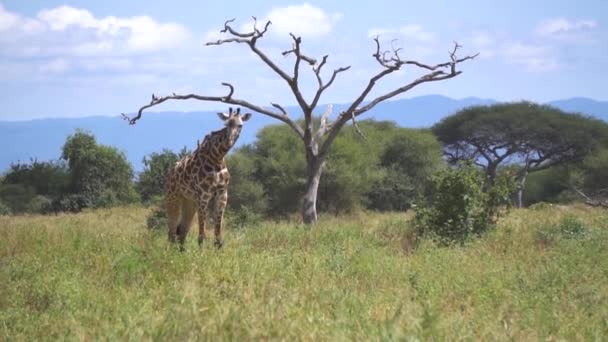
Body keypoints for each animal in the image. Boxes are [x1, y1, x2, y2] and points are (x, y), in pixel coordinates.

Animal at [163, 105, 251, 250]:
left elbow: (217, 228)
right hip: (173, 198)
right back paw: (170, 252)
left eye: (240, 125)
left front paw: (218, 248)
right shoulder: (203, 195)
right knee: (172, 230)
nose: (229, 140)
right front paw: (201, 250)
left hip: (189, 202)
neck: (217, 158)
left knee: (182, 230)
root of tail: (169, 172)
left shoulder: (222, 194)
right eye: (226, 124)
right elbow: (202, 229)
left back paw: (182, 252)